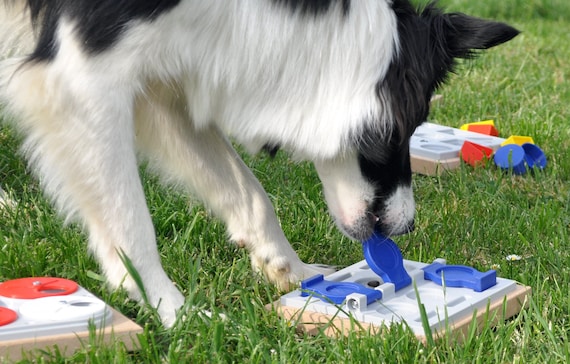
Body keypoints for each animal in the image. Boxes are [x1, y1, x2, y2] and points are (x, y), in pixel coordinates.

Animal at [0, 0, 516, 324]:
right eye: (405, 127)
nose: (406, 227)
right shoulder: (82, 74)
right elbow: (130, 222)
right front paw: (176, 312)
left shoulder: (162, 83)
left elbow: (246, 189)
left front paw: (293, 270)